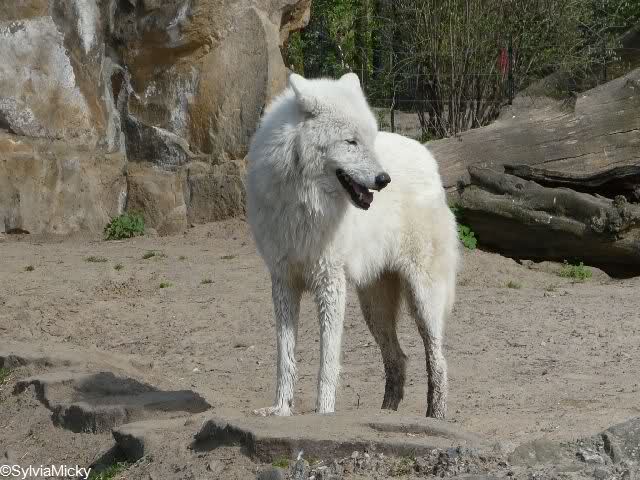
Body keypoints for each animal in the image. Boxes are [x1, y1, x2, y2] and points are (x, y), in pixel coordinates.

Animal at [246, 72, 459, 418]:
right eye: (351, 142)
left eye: (368, 140)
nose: (384, 179)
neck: (303, 202)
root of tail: (428, 158)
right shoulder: (283, 282)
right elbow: (285, 357)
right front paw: (281, 409)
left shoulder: (330, 282)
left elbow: (328, 362)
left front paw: (324, 413)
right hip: (374, 307)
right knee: (398, 359)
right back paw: (386, 412)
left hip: (423, 299)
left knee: (437, 359)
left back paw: (436, 417)